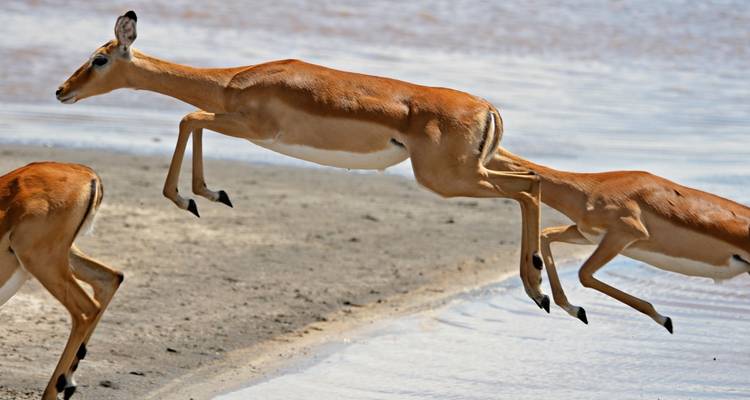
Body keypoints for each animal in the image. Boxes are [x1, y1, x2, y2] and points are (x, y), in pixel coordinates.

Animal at [0, 162, 122, 400]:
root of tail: (87, 173)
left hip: (42, 261)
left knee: (87, 309)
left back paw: (54, 389)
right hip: (63, 256)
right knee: (110, 277)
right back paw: (68, 383)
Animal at [56, 11, 550, 309]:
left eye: (99, 59)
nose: (61, 90)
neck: (234, 81)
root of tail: (487, 108)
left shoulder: (252, 128)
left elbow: (189, 117)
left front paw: (196, 196)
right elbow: (192, 121)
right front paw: (209, 194)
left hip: (450, 178)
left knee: (527, 190)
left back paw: (537, 288)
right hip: (473, 170)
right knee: (535, 181)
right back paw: (545, 292)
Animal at [489, 148, 750, 333]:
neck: (592, 188)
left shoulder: (625, 234)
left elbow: (584, 274)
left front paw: (665, 319)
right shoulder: (586, 234)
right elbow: (546, 235)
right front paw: (573, 309)